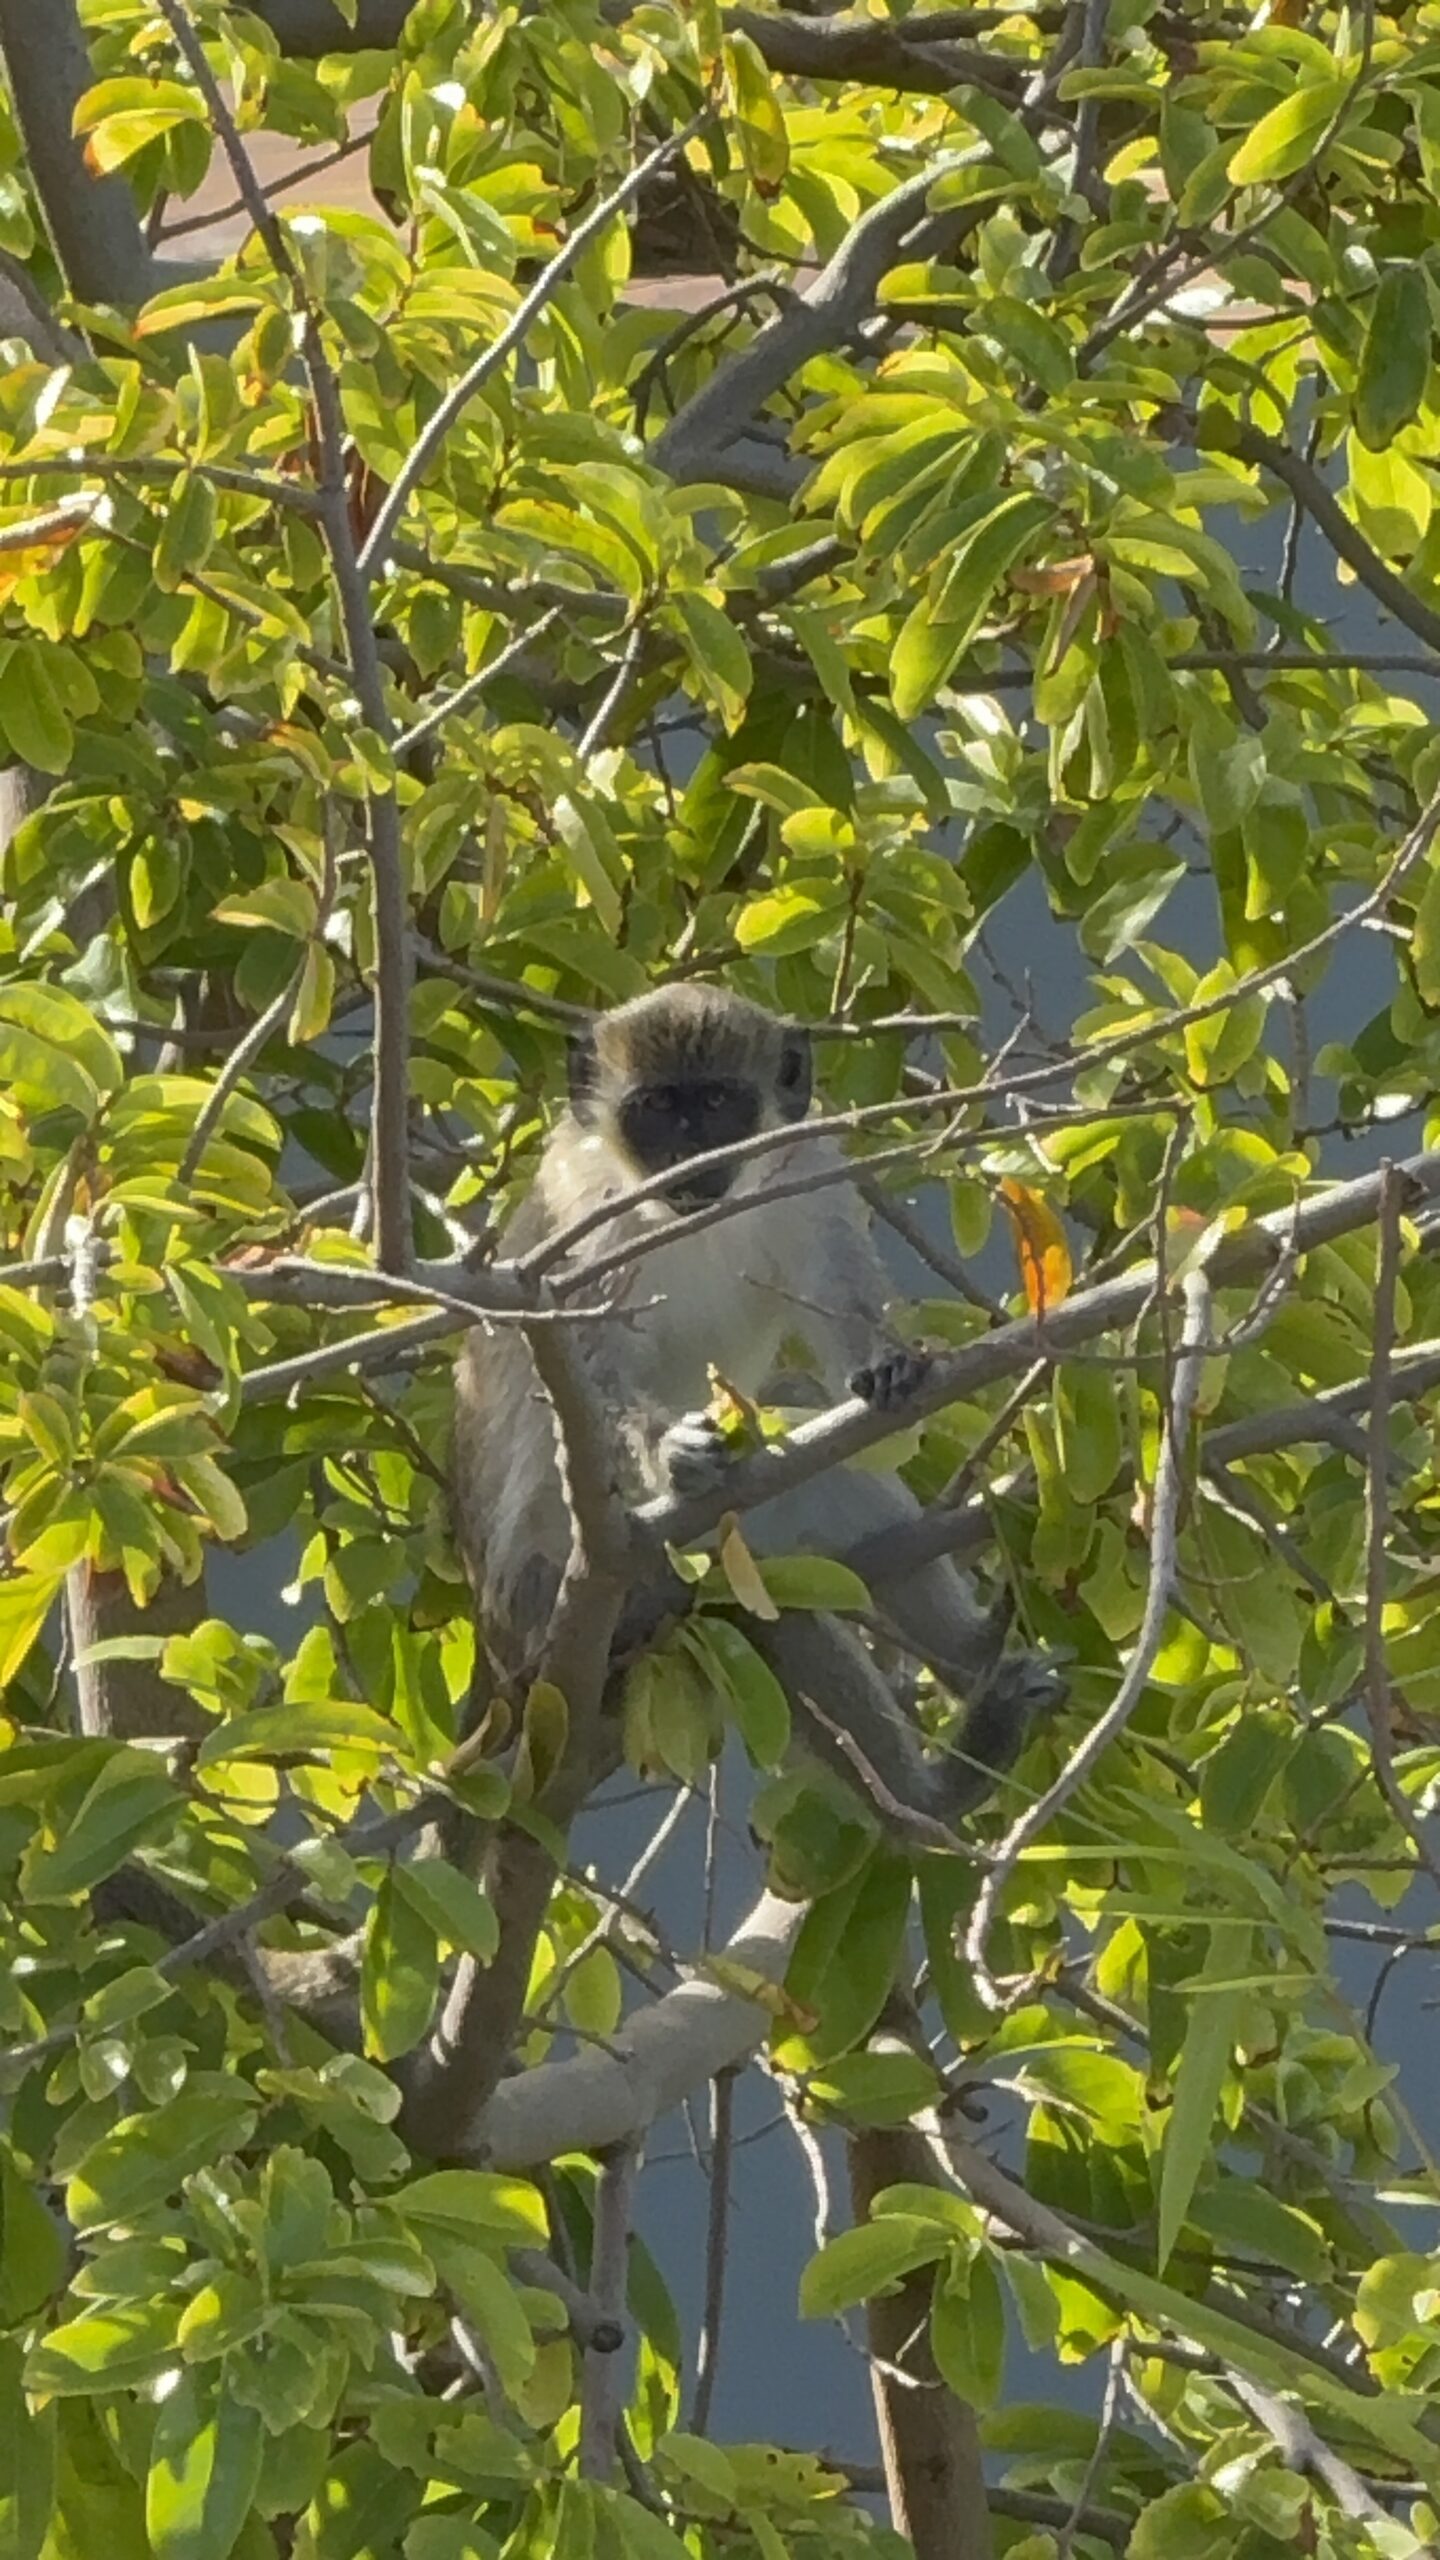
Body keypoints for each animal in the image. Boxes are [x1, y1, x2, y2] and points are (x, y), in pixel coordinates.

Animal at [452, 984, 1063, 1826]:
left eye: (716, 1103)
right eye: (656, 1109)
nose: (688, 1157)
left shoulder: (807, 1170)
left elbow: (840, 1309)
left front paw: (888, 1365)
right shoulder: (583, 1223)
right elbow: (589, 1378)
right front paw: (673, 1454)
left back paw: (969, 1669)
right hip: (562, 1612)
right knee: (750, 1607)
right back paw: (932, 1800)